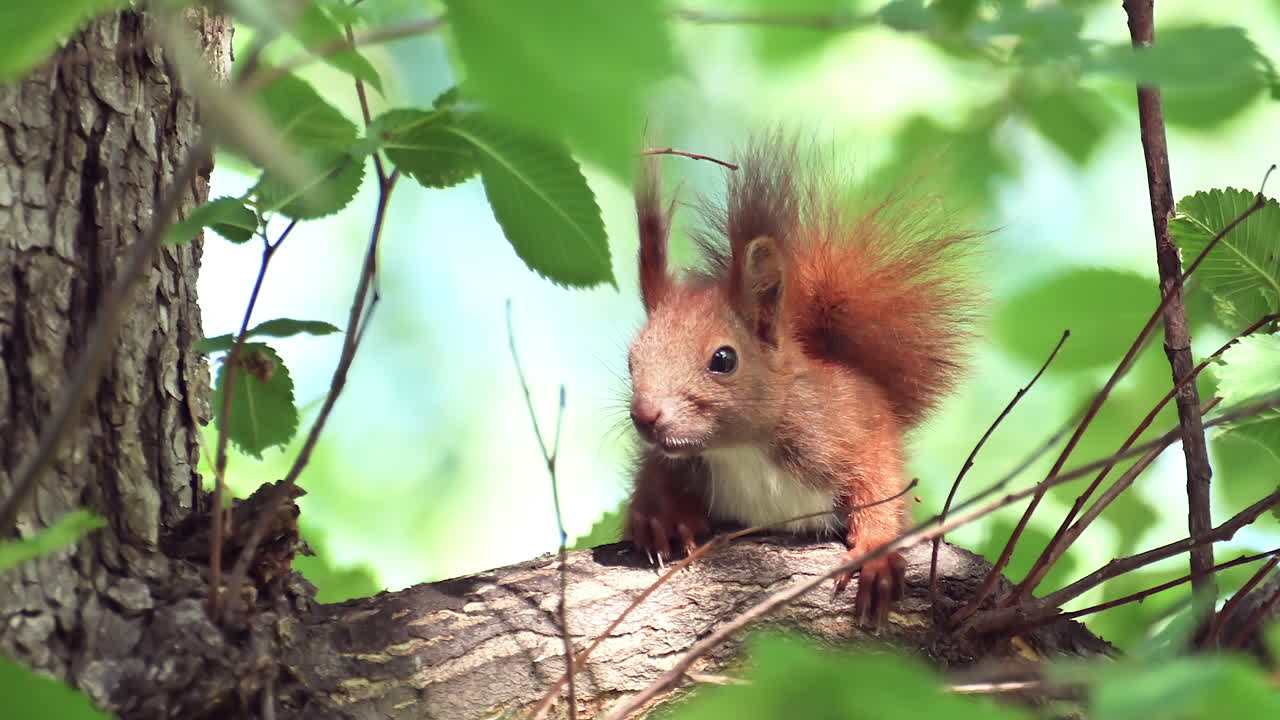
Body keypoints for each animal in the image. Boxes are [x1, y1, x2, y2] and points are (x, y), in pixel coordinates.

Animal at [622, 136, 978, 622]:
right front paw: (661, 518)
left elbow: (881, 483)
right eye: (630, 359)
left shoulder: (851, 431)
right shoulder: (671, 457)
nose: (645, 417)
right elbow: (653, 472)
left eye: (723, 359)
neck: (741, 449)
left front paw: (877, 556)